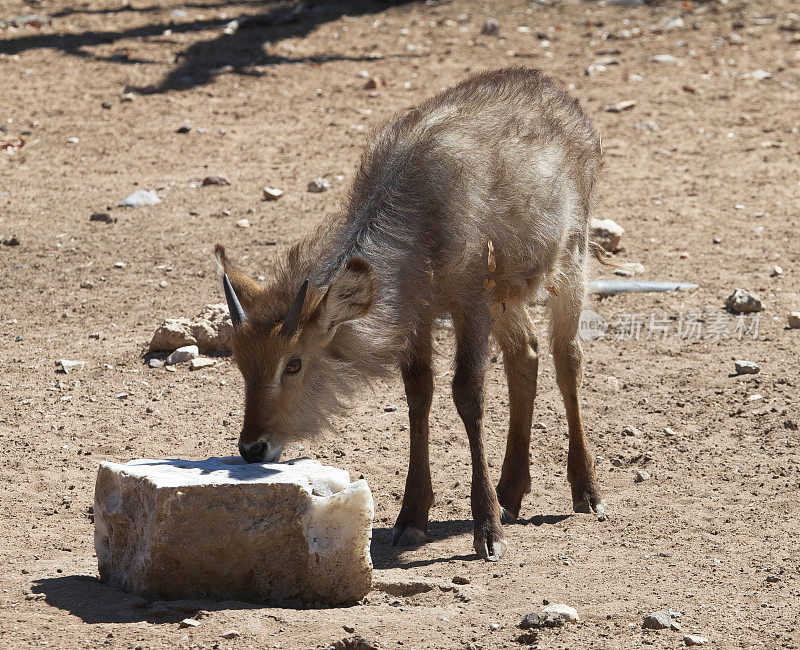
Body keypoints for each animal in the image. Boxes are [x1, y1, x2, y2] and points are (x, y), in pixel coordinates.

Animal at [216, 68, 604, 560]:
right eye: (241, 363)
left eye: (295, 363)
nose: (252, 447)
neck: (421, 217)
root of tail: (559, 94)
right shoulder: (419, 311)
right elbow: (418, 393)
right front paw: (411, 517)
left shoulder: (470, 299)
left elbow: (468, 395)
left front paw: (487, 529)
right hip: (507, 294)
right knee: (526, 355)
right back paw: (512, 492)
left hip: (570, 257)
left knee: (566, 358)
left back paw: (585, 489)